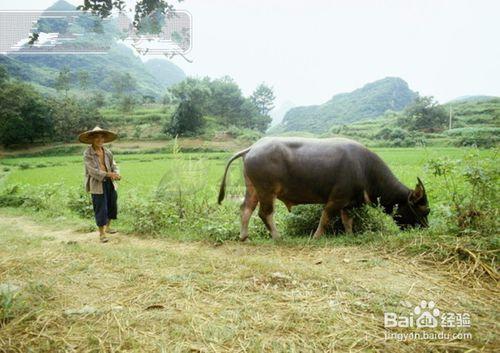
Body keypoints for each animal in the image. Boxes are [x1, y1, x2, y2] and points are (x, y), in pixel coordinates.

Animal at [218, 136, 430, 241]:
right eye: (425, 209)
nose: (426, 229)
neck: (364, 169)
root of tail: (252, 148)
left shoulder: (348, 203)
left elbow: (347, 221)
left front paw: (350, 235)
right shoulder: (336, 199)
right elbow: (326, 218)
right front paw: (317, 236)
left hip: (253, 188)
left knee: (246, 209)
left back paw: (244, 236)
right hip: (267, 191)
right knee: (265, 213)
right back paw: (277, 237)